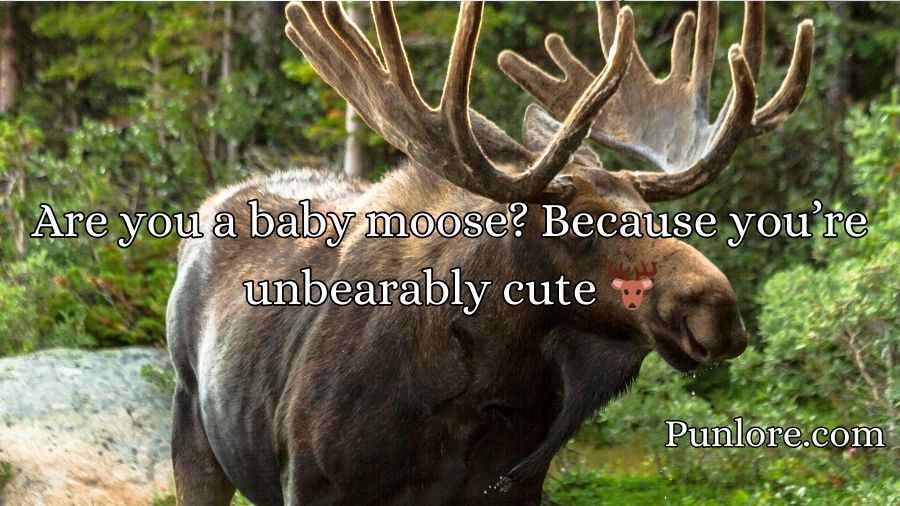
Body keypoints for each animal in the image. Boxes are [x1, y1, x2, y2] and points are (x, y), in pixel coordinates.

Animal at [166, 1, 814, 504]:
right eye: (578, 222)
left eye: (651, 214)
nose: (718, 310)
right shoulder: (313, 482)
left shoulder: (512, 488)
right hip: (192, 421)